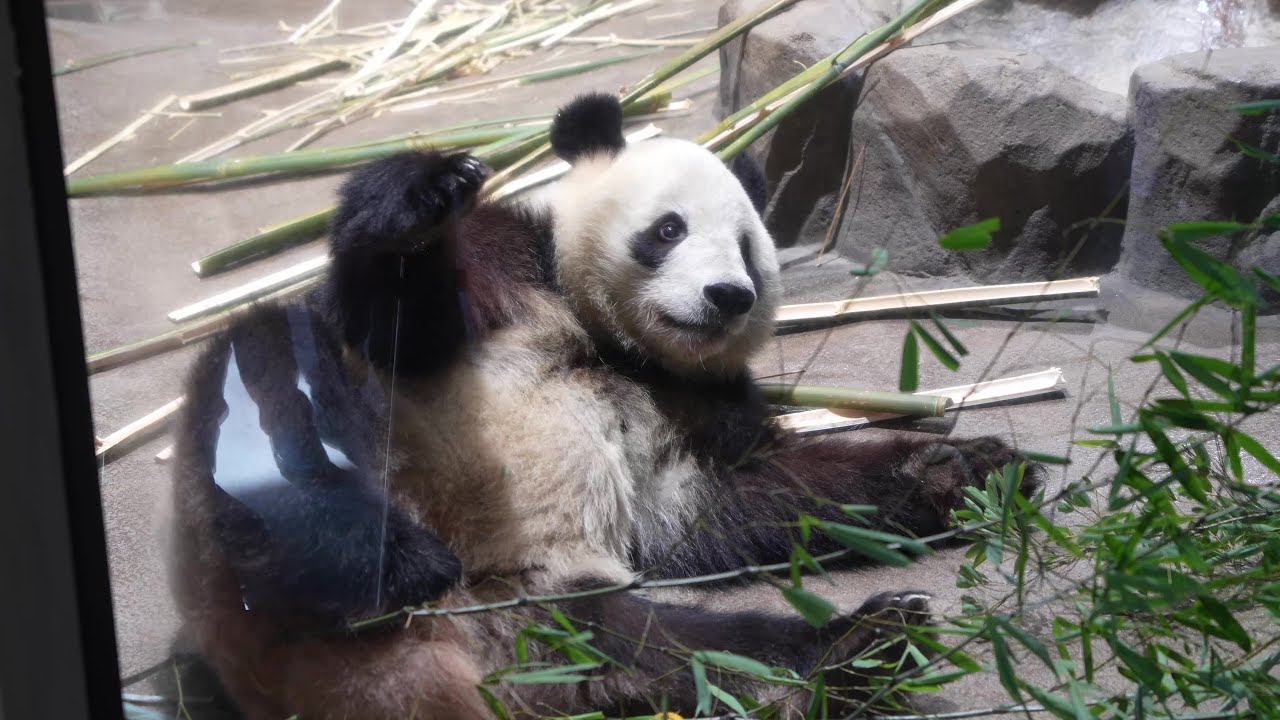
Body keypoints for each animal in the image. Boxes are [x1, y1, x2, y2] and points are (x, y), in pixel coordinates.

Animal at [167, 93, 1041, 720]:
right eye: (668, 229)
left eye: (749, 248)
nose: (726, 297)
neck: (609, 342)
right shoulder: (501, 278)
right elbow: (396, 316)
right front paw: (422, 197)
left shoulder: (685, 406)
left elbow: (730, 503)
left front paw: (962, 471)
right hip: (269, 568)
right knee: (267, 380)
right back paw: (385, 555)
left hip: (551, 624)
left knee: (688, 653)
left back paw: (863, 650)